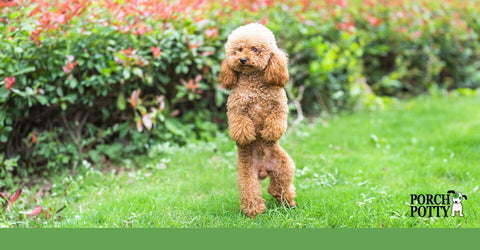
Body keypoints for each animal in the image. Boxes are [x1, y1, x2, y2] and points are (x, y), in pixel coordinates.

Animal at [218, 23, 294, 219]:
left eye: (254, 49)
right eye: (238, 50)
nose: (243, 59)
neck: (254, 81)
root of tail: (263, 169)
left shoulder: (279, 105)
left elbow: (276, 120)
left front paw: (269, 133)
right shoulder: (236, 108)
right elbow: (241, 123)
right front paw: (247, 135)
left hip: (284, 166)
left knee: (281, 186)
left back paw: (287, 202)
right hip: (246, 174)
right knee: (251, 191)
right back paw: (254, 210)